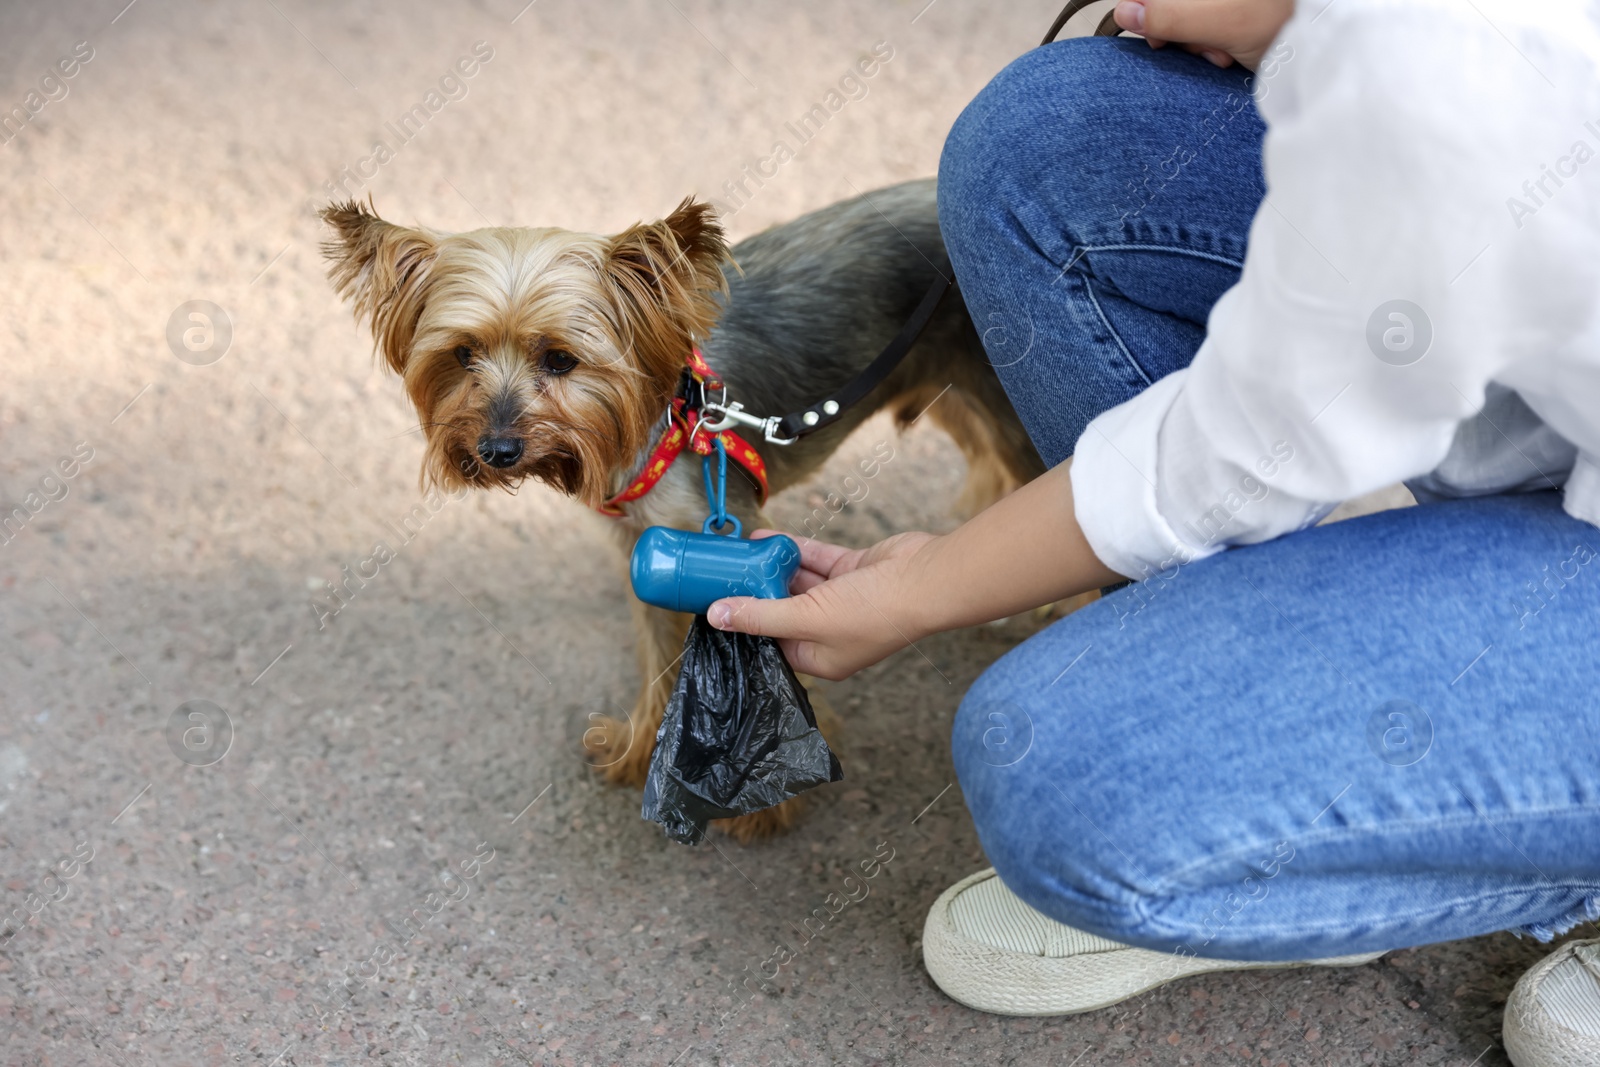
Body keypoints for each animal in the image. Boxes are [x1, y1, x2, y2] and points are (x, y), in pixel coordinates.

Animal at [321, 181, 1049, 844]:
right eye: (461, 354)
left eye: (560, 359)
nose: (496, 450)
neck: (664, 419)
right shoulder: (641, 545)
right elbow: (658, 650)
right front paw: (640, 743)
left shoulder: (725, 529)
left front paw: (764, 795)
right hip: (955, 387)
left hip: (1000, 395)